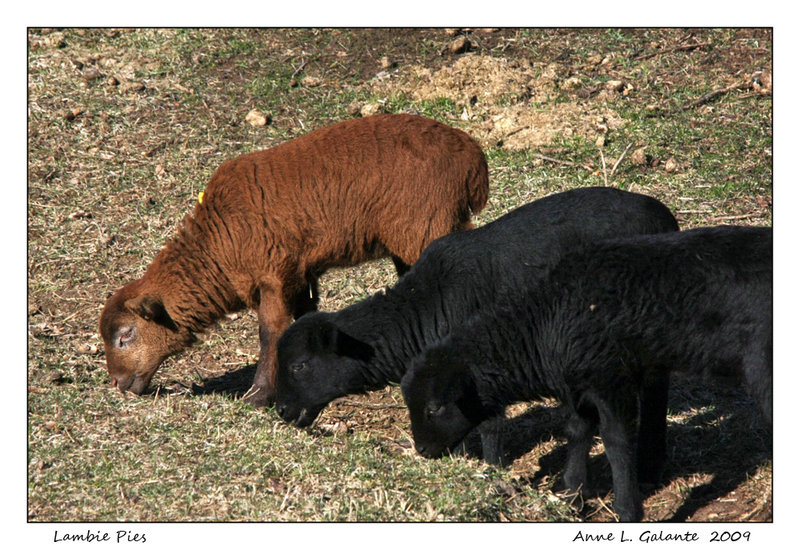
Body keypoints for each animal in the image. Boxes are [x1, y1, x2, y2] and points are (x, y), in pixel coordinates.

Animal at [98, 114, 488, 408]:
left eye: (125, 336)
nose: (117, 383)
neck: (218, 244)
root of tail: (472, 158)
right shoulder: (300, 276)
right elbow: (304, 318)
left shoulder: (273, 275)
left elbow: (270, 332)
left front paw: (258, 395)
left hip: (430, 224)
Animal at [404, 226, 772, 524]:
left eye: (434, 407)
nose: (422, 449)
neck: (545, 322)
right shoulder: (580, 381)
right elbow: (577, 429)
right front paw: (572, 495)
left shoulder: (609, 377)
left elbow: (616, 441)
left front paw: (627, 510)